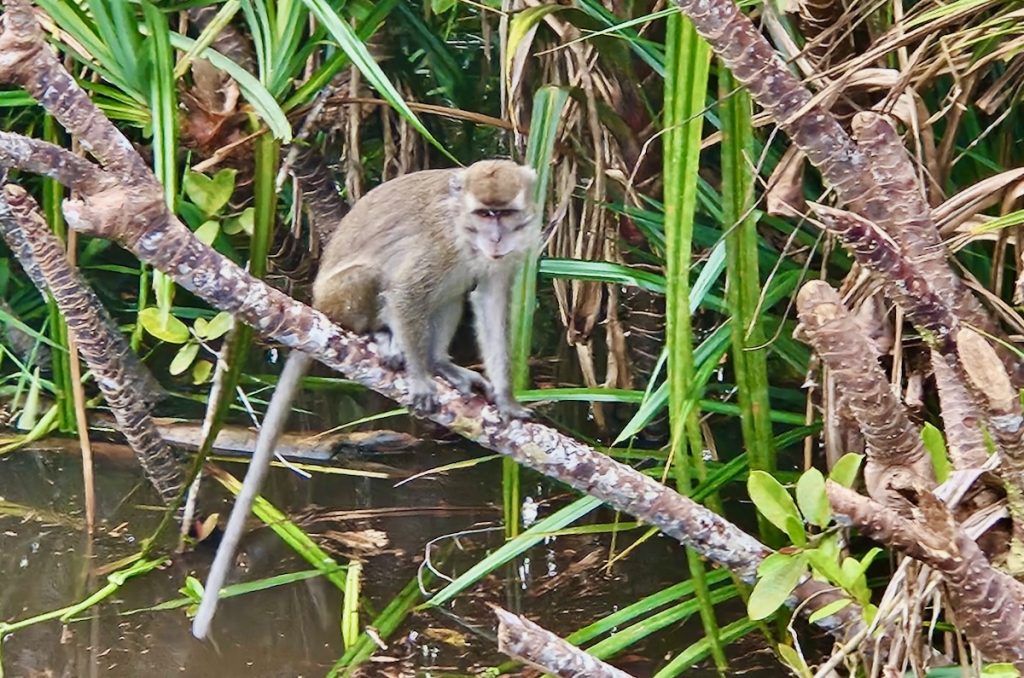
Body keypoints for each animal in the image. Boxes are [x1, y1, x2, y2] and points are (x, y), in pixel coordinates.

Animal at [191, 159, 539, 639]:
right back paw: (385, 341)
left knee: (448, 296)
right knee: (381, 281)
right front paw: (420, 378)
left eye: (504, 213)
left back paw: (439, 363)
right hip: (339, 298)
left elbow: (489, 300)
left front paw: (504, 397)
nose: (496, 239)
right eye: (484, 214)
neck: (465, 234)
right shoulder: (438, 246)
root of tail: (316, 303)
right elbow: (407, 291)